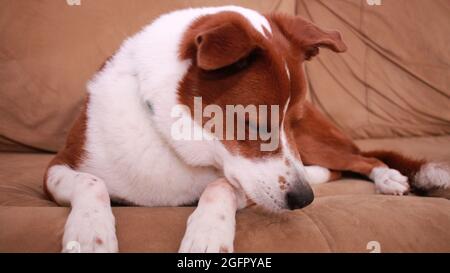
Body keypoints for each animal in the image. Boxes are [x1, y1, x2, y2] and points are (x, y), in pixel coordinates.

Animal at [43, 5, 450, 252]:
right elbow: (91, 181)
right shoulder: (56, 166)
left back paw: (390, 177)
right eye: (255, 123)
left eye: (289, 121)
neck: (173, 138)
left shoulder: (256, 180)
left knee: (361, 158)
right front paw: (89, 233)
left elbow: (221, 186)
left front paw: (208, 234)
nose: (303, 201)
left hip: (315, 142)